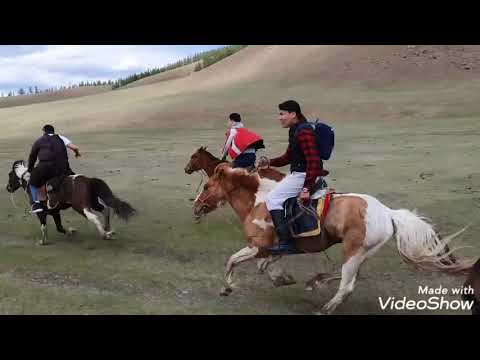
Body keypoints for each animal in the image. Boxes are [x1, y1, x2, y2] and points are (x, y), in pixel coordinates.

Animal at [6, 160, 136, 245]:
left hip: (80, 206)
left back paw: (105, 234)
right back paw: (108, 230)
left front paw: (42, 241)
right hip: (93, 202)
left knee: (93, 216)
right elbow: (59, 227)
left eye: (10, 175)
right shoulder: (55, 212)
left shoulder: (40, 212)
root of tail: (88, 180)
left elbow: (44, 226)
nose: (8, 188)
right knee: (106, 209)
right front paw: (71, 231)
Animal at [193, 164, 474, 316]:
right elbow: (267, 265)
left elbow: (233, 260)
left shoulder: (258, 246)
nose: (196, 206)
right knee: (350, 277)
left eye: (206, 186)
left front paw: (227, 287)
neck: (260, 201)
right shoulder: (276, 248)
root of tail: (387, 213)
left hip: (353, 251)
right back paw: (315, 281)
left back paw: (325, 307)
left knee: (347, 285)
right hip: (361, 253)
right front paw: (282, 278)